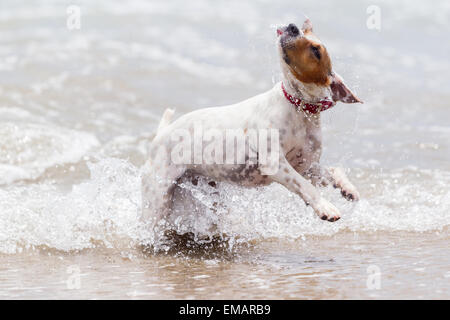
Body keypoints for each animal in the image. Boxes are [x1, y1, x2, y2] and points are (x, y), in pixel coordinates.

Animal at [143, 18, 362, 231]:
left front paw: (348, 188)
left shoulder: (306, 165)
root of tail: (161, 134)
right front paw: (326, 207)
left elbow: (331, 171)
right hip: (158, 200)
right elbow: (305, 186)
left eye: (316, 50)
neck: (299, 109)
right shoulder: (275, 163)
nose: (292, 26)